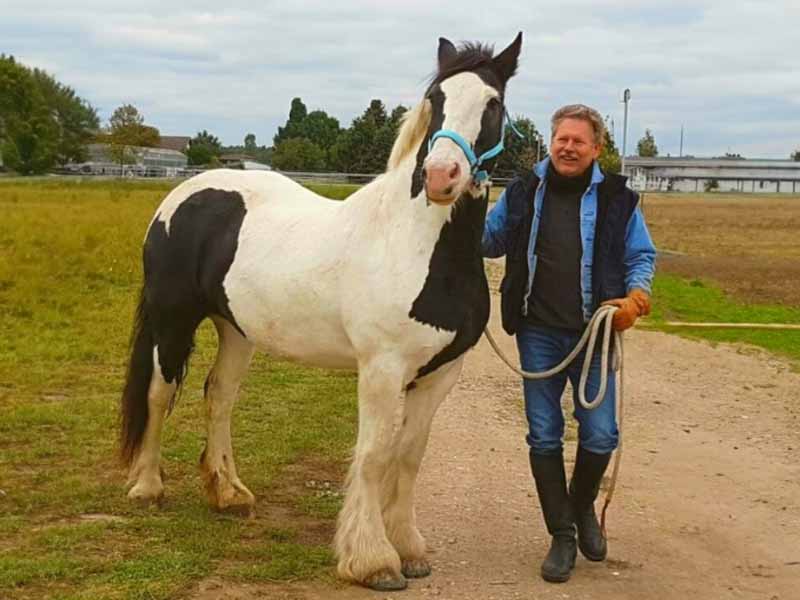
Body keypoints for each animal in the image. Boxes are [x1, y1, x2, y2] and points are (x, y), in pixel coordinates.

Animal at [117, 32, 520, 592]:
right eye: (435, 100)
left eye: (493, 103)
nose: (442, 176)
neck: (417, 245)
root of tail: (181, 196)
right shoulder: (381, 370)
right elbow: (373, 456)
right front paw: (373, 561)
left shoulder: (442, 373)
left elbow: (409, 456)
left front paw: (409, 548)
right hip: (172, 318)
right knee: (160, 392)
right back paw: (148, 488)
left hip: (235, 329)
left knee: (219, 397)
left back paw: (229, 494)